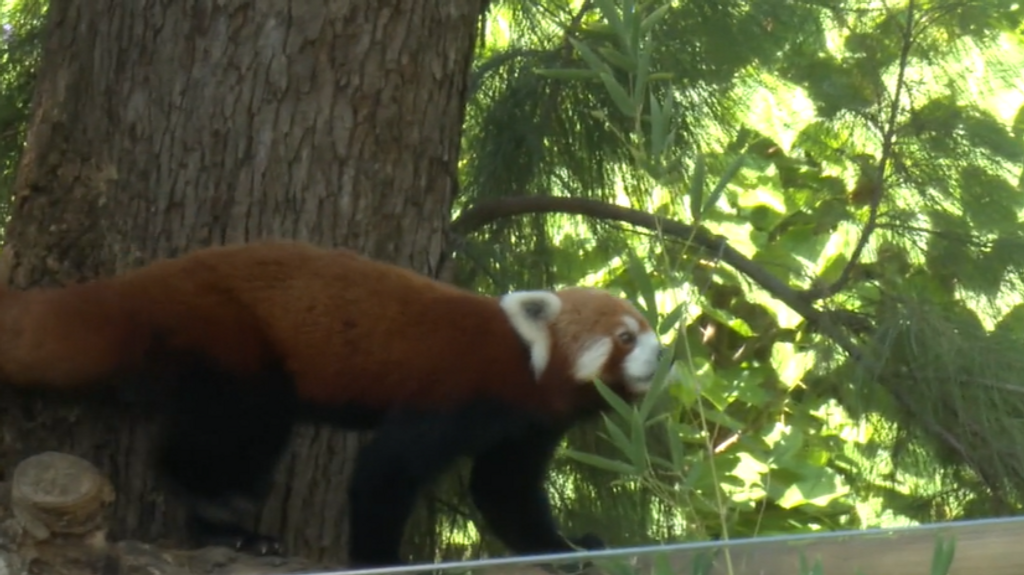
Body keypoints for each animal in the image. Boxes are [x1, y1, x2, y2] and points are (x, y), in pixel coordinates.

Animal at [0, 239, 663, 564]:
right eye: (625, 337)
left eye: (648, 328)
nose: (664, 356)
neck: (523, 365)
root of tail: (140, 286)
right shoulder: (457, 394)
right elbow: (385, 471)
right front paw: (380, 559)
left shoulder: (526, 427)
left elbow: (505, 493)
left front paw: (568, 549)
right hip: (231, 340)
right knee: (231, 432)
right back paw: (229, 525)